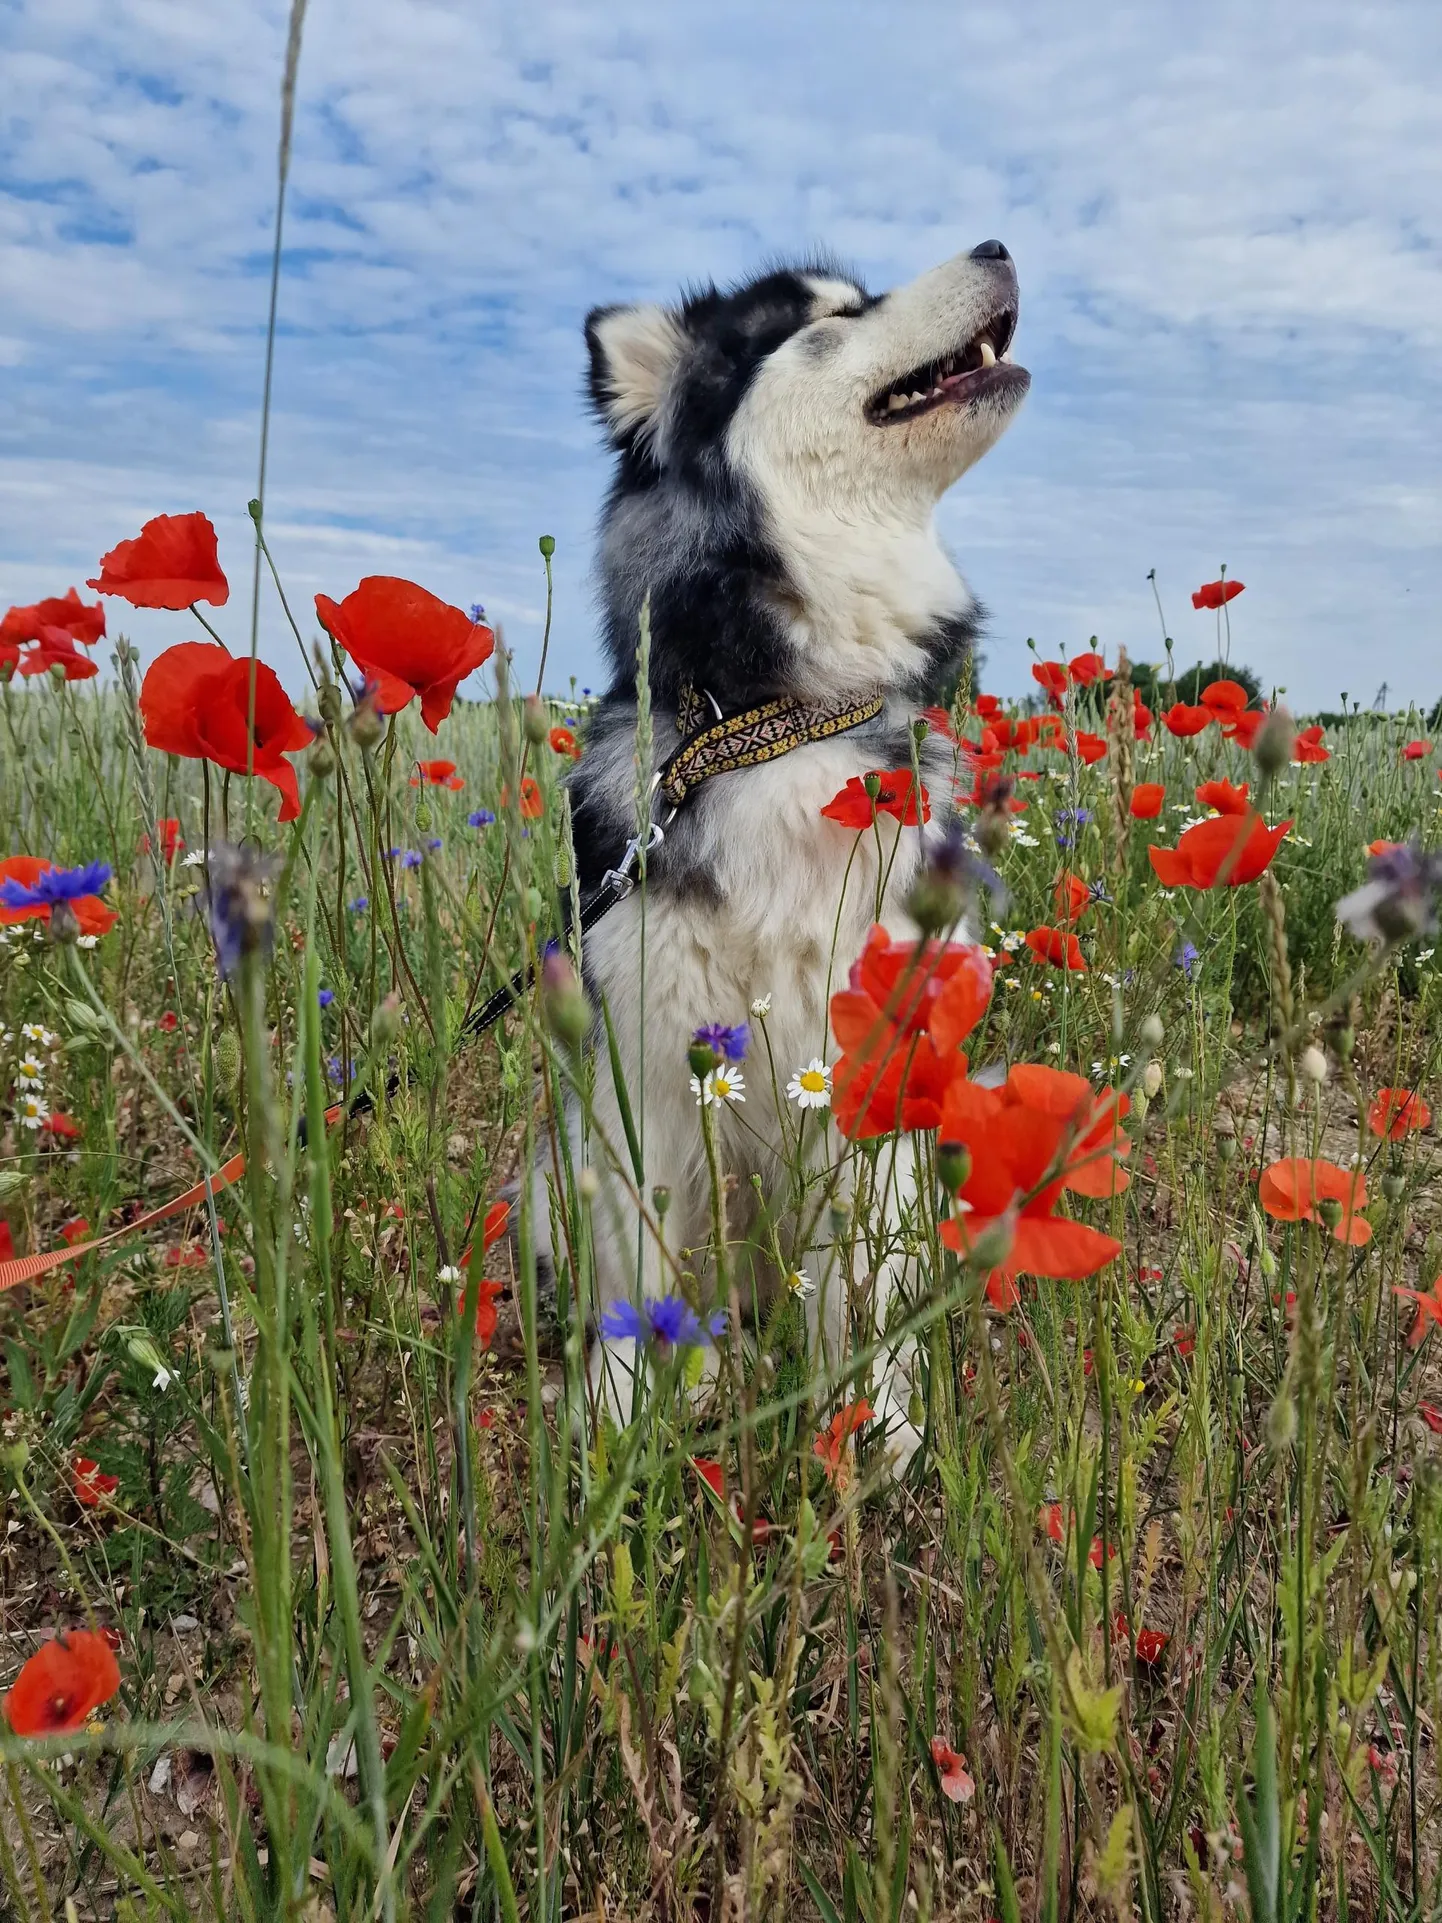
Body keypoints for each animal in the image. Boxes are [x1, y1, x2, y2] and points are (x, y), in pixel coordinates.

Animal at [542, 232, 1030, 1446]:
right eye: (828, 318)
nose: (998, 244)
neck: (777, 716)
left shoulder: (865, 1063)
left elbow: (857, 1285)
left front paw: (872, 1417)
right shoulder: (640, 1070)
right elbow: (637, 1266)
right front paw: (623, 1410)